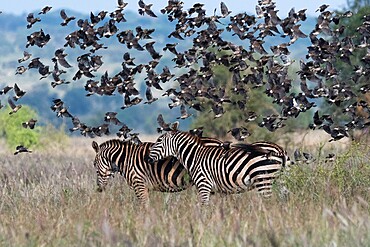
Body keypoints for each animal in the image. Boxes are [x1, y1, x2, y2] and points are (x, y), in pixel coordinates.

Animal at [92, 135, 225, 203]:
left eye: (94, 164)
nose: (99, 189)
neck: (126, 159)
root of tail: (219, 141)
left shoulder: (139, 184)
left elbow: (143, 206)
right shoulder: (145, 187)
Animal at [148, 126, 290, 204]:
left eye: (159, 141)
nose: (147, 158)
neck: (195, 156)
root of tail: (279, 151)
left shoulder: (204, 185)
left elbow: (204, 207)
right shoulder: (216, 190)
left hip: (263, 180)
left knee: (269, 202)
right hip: (281, 180)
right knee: (284, 199)